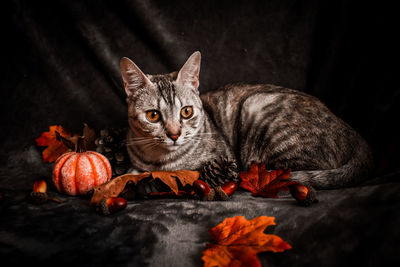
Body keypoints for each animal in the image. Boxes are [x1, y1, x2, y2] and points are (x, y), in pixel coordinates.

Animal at [120, 51, 374, 191]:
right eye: (153, 115)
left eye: (186, 112)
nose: (174, 134)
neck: (159, 161)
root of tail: (351, 131)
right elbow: (130, 172)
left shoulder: (216, 160)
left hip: (257, 107)